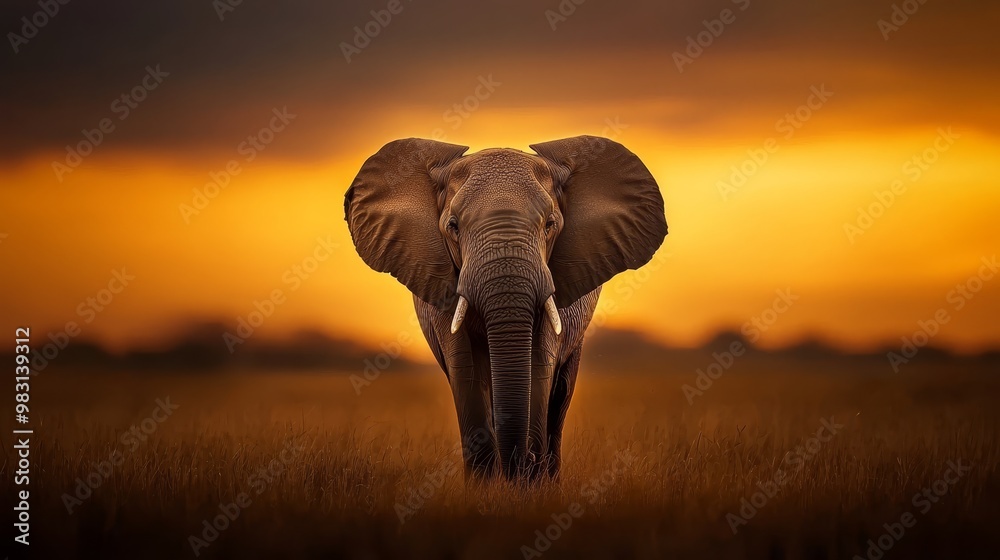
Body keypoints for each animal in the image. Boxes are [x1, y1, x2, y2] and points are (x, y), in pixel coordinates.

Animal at [344, 135, 667, 481]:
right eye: (453, 226)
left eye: (550, 224)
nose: (525, 461)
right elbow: (466, 370)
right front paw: (487, 486)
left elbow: (540, 365)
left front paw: (527, 483)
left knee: (560, 397)